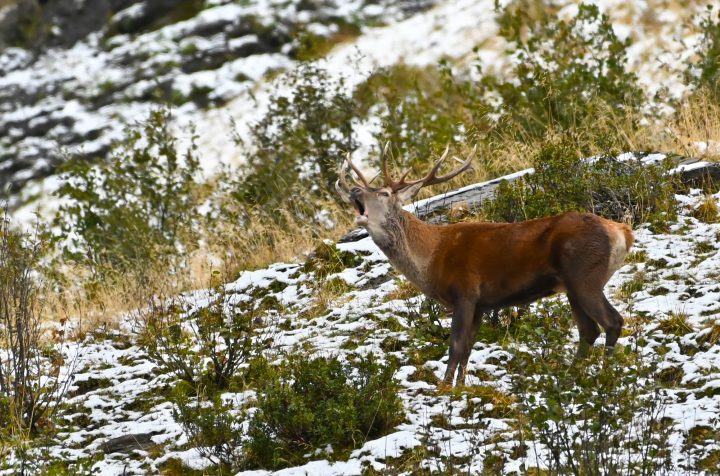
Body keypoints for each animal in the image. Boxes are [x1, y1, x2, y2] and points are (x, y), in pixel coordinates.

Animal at [335, 145, 634, 388]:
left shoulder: (465, 292)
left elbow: (455, 346)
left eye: (384, 193)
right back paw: (570, 378)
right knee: (588, 330)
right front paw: (461, 387)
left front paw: (444, 390)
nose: (354, 189)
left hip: (585, 274)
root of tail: (623, 232)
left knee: (612, 321)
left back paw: (604, 375)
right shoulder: (482, 305)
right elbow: (468, 348)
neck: (431, 258)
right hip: (571, 286)